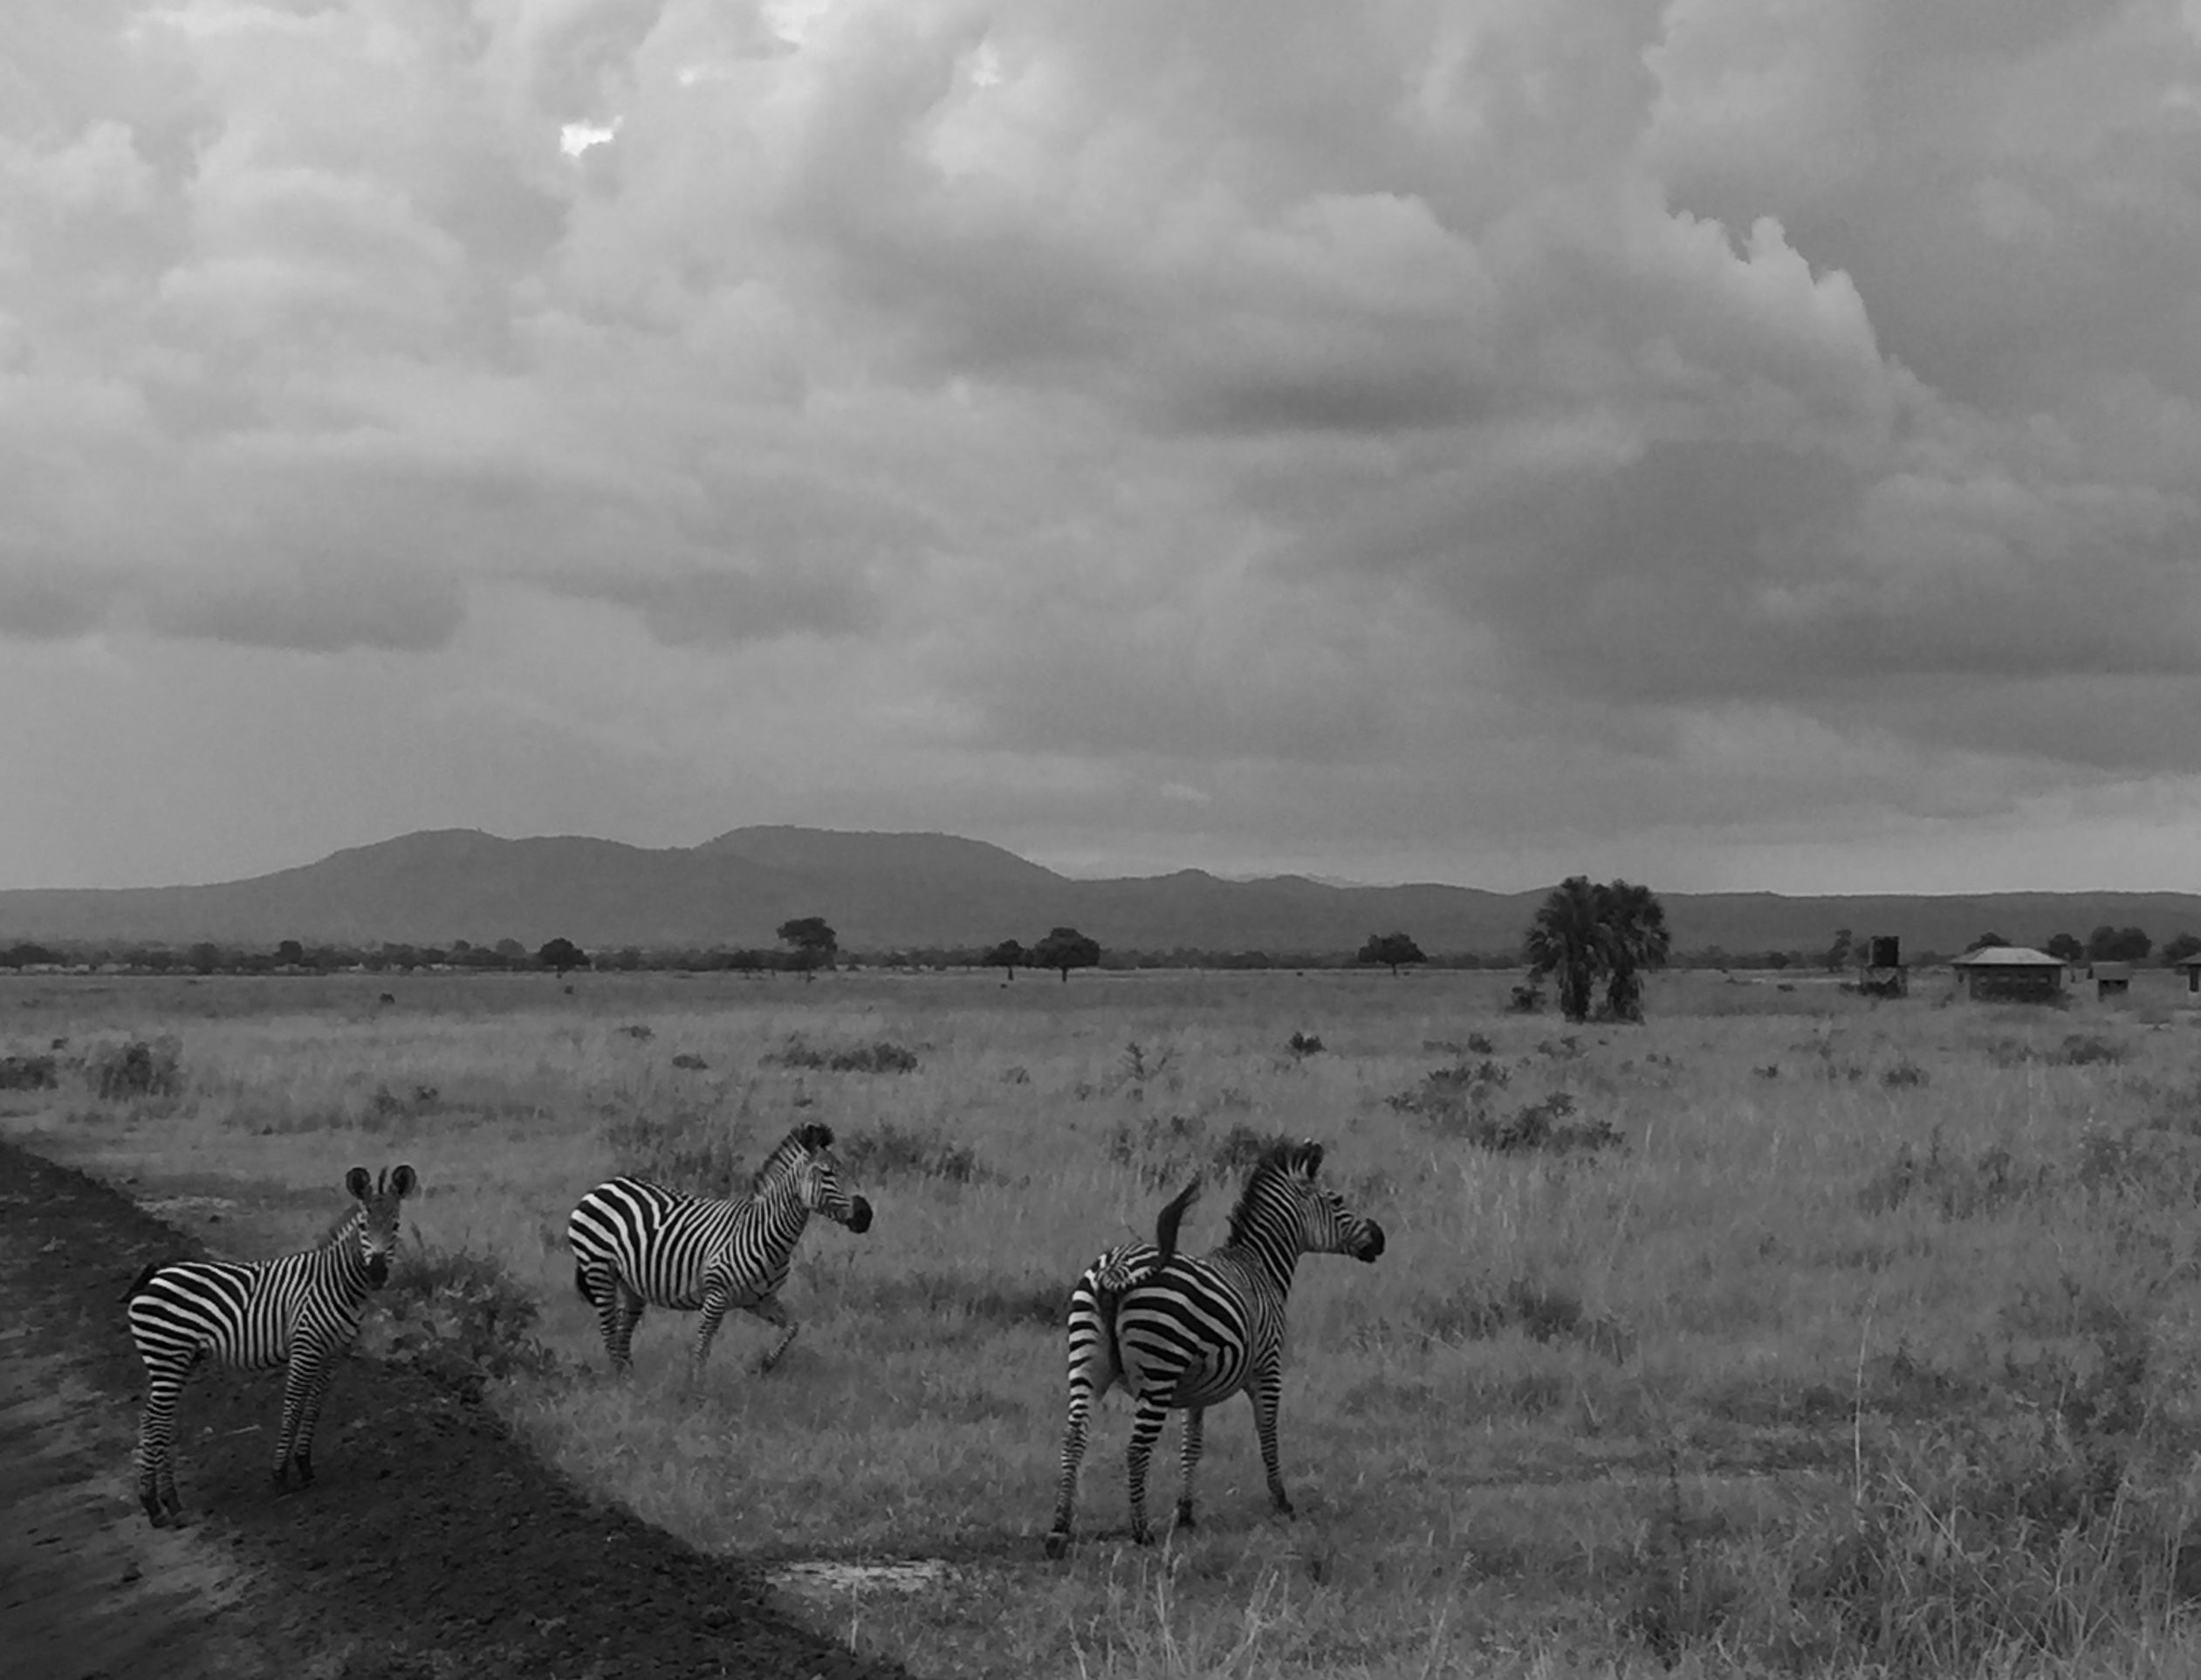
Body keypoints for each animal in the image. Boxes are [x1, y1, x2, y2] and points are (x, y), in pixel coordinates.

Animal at [126, 1162, 420, 1532]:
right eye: (365, 1226)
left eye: (395, 1226)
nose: (378, 1272)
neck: (334, 1282)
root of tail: (156, 1272)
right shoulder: (305, 1346)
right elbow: (293, 1407)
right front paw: (280, 1475)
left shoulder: (333, 1353)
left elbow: (314, 1407)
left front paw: (305, 1466)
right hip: (167, 1355)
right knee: (157, 1418)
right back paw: (157, 1503)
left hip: (180, 1359)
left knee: (153, 1418)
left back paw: (163, 1501)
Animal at [567, 1118, 875, 1382]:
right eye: (826, 1173)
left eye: (845, 1171)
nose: (866, 1215)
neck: (765, 1232)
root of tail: (603, 1185)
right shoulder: (716, 1296)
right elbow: (702, 1348)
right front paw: (697, 1392)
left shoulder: (759, 1298)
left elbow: (793, 1327)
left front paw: (765, 1365)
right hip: (598, 1270)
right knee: (609, 1332)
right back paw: (622, 1385)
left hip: (631, 1285)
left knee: (621, 1334)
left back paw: (631, 1380)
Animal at [1043, 1135, 1382, 1559]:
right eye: (1337, 1201)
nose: (1380, 1238)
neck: (1261, 1267)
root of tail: (1114, 1270)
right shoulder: (1268, 1368)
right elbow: (1268, 1436)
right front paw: (1282, 1503)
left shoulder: (1196, 1388)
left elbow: (1193, 1444)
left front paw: (1186, 1512)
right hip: (1158, 1371)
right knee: (1136, 1450)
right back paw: (1141, 1531)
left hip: (1086, 1364)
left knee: (1073, 1438)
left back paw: (1059, 1529)